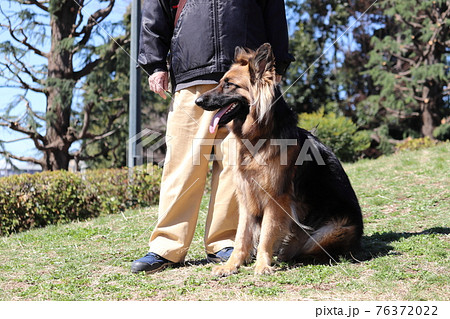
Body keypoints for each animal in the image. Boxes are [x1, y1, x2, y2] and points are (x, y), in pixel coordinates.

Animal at [195, 44, 364, 278]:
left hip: (327, 232)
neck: (258, 139)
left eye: (229, 84)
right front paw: (231, 265)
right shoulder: (247, 197)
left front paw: (261, 265)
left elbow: (266, 234)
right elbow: (241, 236)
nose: (197, 101)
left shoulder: (275, 199)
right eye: (221, 81)